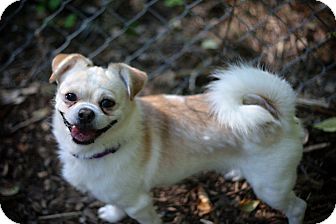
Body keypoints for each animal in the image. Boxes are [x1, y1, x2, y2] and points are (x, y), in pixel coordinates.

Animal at [50, 53, 308, 223]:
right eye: (70, 97)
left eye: (107, 103)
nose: (85, 113)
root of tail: (280, 116)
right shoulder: (117, 194)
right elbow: (115, 204)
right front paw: (113, 215)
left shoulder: (140, 205)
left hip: (271, 189)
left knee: (298, 207)